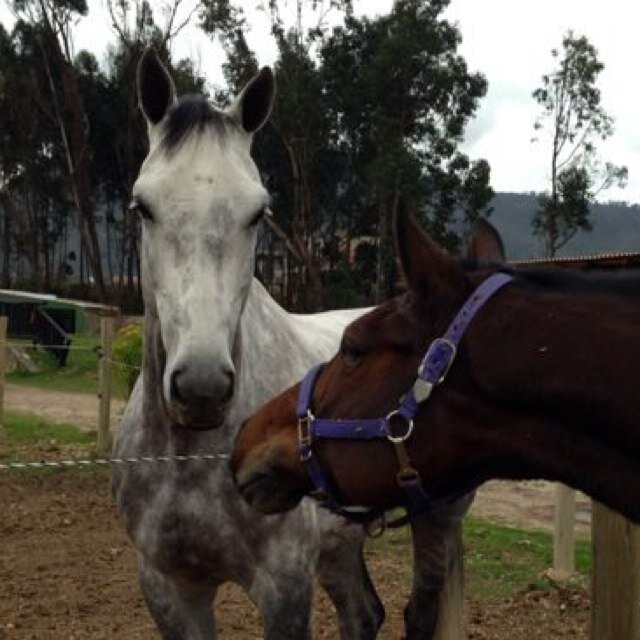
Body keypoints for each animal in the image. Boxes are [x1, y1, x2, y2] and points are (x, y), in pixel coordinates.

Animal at [110, 49, 468, 640]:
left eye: (258, 212)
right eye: (143, 206)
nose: (202, 388)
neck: (194, 454)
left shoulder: (283, 587)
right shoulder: (168, 587)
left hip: (436, 516)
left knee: (422, 612)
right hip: (342, 542)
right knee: (364, 613)